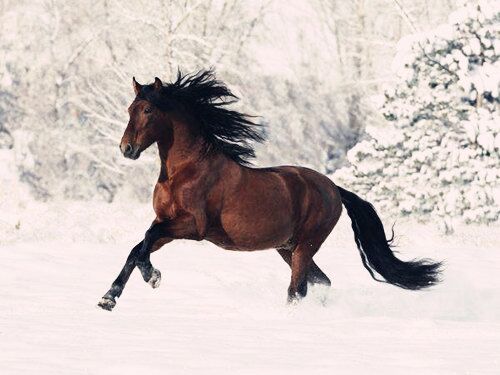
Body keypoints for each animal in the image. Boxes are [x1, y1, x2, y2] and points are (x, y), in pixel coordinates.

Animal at [97, 70, 442, 312]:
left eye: (148, 111)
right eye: (130, 108)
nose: (126, 149)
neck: (185, 170)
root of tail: (333, 188)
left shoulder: (192, 227)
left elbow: (145, 242)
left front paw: (152, 277)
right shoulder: (165, 223)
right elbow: (137, 248)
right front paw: (108, 298)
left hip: (305, 245)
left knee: (297, 289)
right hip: (287, 248)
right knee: (321, 282)